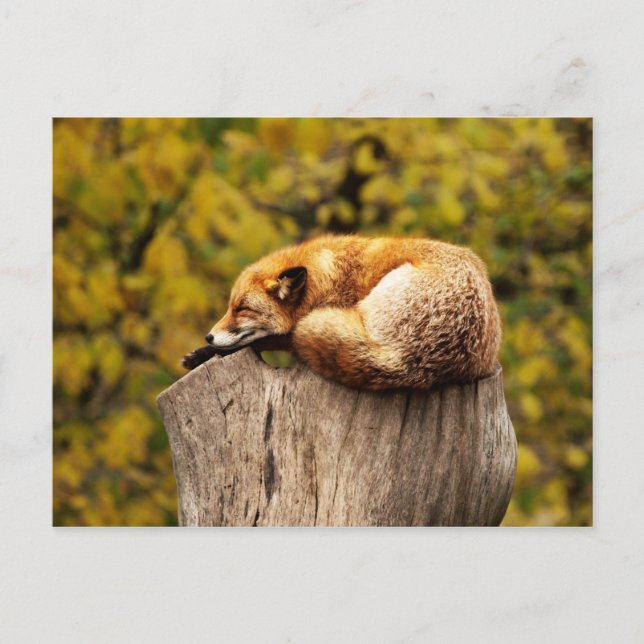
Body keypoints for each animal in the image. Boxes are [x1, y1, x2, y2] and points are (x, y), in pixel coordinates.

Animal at [182, 234, 502, 391]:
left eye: (242, 309)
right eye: (230, 307)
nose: (208, 336)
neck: (327, 278)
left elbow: (267, 340)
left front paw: (205, 353)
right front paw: (201, 353)